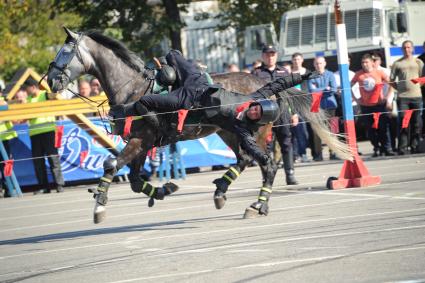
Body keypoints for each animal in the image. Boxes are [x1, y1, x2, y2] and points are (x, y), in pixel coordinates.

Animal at [46, 28, 352, 224]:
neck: (131, 88)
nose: (50, 81)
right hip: (230, 132)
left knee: (267, 165)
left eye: (65, 52)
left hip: (252, 133)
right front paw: (162, 190)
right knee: (245, 159)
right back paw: (223, 191)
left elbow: (111, 165)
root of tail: (262, 84)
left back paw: (256, 204)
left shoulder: (140, 140)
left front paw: (99, 205)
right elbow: (133, 179)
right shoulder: (142, 142)